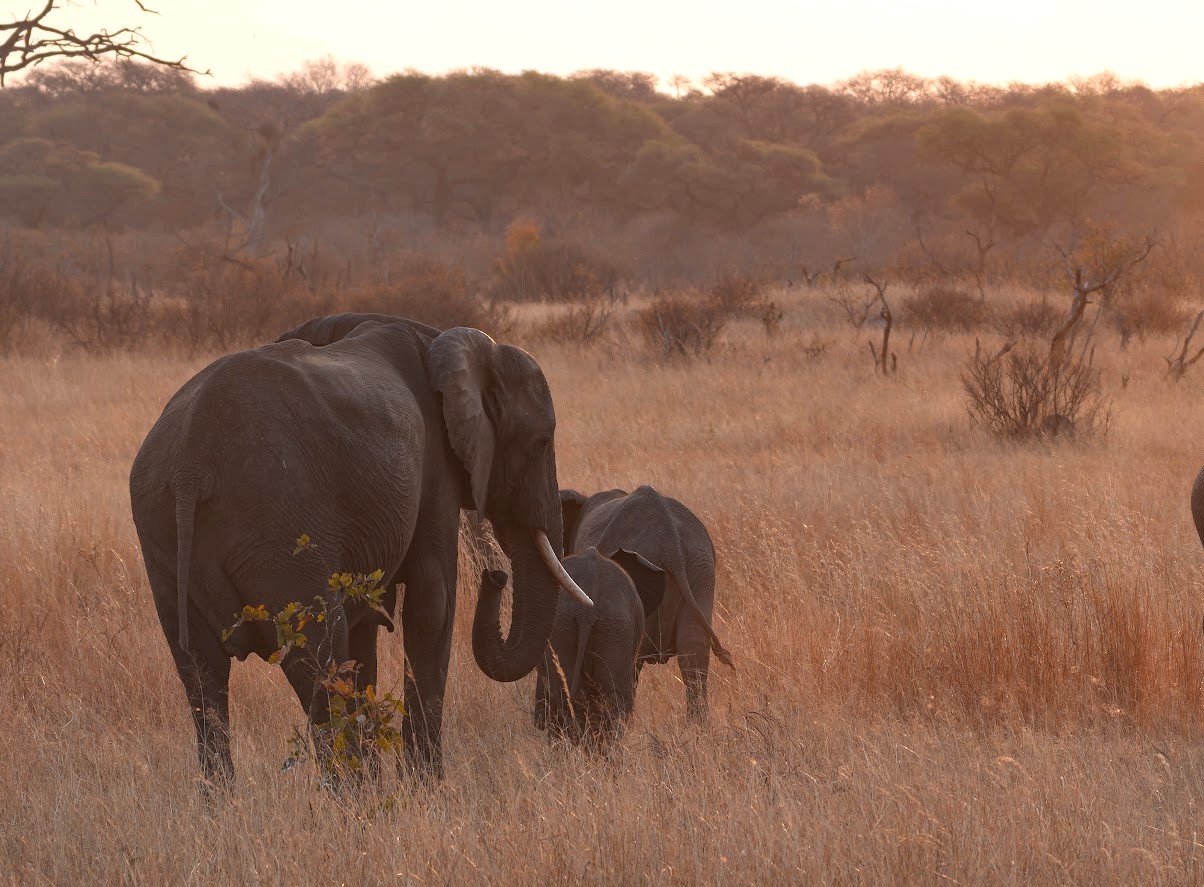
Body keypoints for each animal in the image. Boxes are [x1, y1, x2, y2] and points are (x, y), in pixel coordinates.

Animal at [129, 319, 591, 786]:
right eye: (542, 442)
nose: (495, 575)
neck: (442, 343)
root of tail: (190, 467)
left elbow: (365, 628)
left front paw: (390, 783)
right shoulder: (436, 472)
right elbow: (433, 604)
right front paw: (425, 788)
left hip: (161, 530)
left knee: (201, 675)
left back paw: (228, 801)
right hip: (278, 525)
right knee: (317, 662)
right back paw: (352, 798)